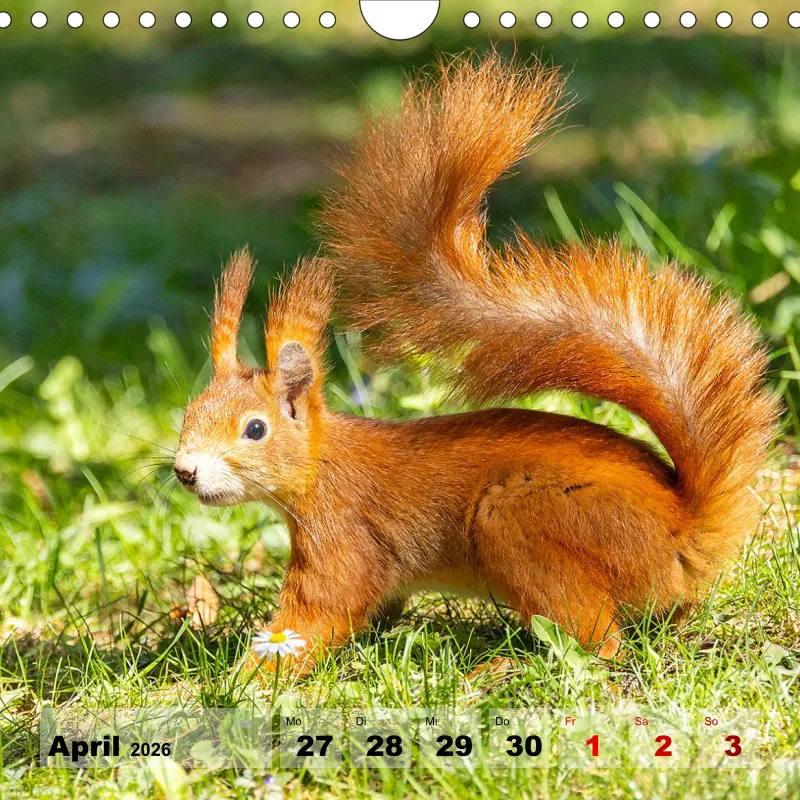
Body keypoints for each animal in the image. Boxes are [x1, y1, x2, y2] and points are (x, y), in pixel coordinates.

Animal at [173, 53, 778, 675]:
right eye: (188, 414)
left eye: (255, 429)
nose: (184, 470)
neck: (322, 464)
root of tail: (683, 533)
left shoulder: (343, 536)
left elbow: (319, 611)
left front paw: (249, 676)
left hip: (516, 522)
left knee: (598, 642)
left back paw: (505, 665)